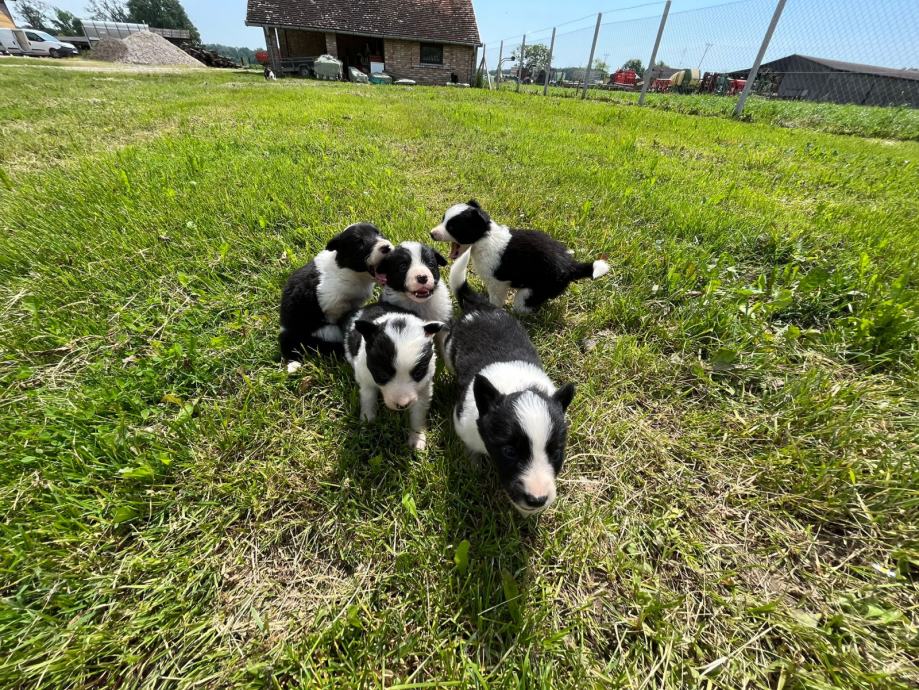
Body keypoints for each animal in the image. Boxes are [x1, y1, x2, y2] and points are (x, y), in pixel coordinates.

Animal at [282, 223, 394, 368]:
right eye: (359, 243)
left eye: (379, 233)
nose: (386, 247)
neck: (350, 272)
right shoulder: (333, 305)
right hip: (326, 331)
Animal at [344, 304, 446, 448]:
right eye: (382, 375)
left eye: (418, 373)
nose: (402, 405)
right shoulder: (365, 377)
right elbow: (368, 399)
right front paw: (367, 422)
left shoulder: (425, 385)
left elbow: (418, 412)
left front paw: (417, 438)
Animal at [434, 198, 612, 314]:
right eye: (443, 220)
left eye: (452, 227)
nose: (431, 234)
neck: (484, 236)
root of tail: (571, 265)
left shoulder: (498, 283)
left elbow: (495, 300)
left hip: (531, 291)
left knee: (524, 305)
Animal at [444, 250, 576, 512]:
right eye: (509, 452)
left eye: (555, 453)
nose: (537, 500)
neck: (517, 385)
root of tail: (480, 307)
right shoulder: (462, 422)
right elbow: (470, 449)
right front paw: (474, 464)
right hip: (448, 349)